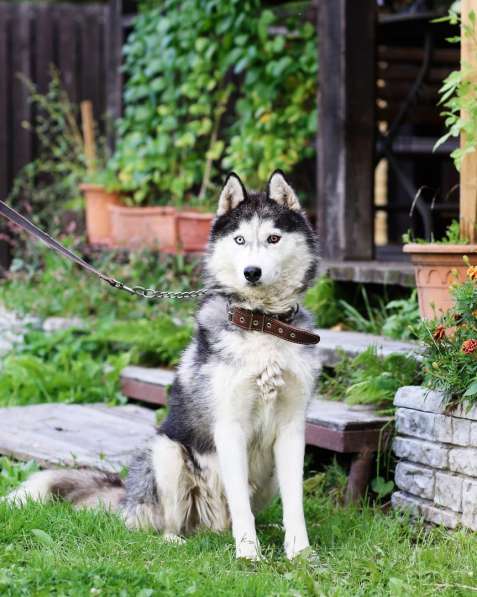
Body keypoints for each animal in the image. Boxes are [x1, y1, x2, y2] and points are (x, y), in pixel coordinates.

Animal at [5, 170, 320, 560]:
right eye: (240, 239)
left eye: (273, 238)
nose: (251, 272)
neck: (262, 325)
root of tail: (129, 497)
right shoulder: (229, 428)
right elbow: (241, 507)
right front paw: (249, 555)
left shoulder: (291, 430)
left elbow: (295, 503)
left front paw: (301, 554)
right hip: (166, 452)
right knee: (166, 525)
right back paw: (177, 540)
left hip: (266, 478)